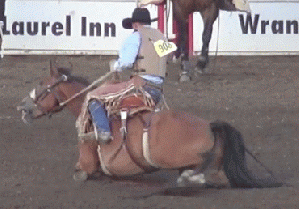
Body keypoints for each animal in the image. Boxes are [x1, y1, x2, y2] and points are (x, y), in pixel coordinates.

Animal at [18, 62, 268, 189]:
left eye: (41, 83)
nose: (22, 106)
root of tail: (209, 126)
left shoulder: (86, 163)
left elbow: (80, 172)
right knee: (218, 177)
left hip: (174, 158)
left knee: (199, 170)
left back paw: (188, 178)